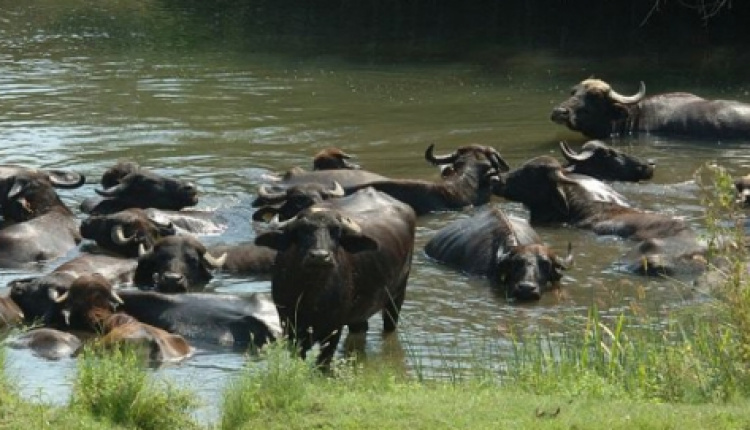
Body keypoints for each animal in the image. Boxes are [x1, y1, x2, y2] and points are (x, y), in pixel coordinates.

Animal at [254, 188, 418, 366]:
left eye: (336, 231)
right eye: (302, 230)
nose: (320, 256)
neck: (311, 293)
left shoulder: (333, 329)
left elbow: (323, 364)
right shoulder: (290, 327)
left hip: (397, 296)